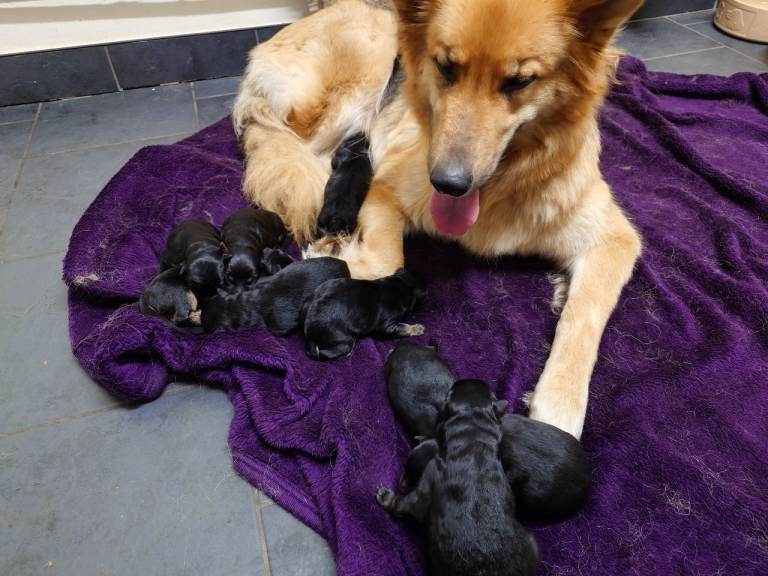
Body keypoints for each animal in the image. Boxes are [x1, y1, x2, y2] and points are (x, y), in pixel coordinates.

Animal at [234, 0, 644, 438]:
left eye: (519, 82)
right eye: (445, 69)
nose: (448, 184)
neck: (501, 186)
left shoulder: (615, 240)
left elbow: (582, 320)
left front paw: (558, 407)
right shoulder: (385, 192)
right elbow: (387, 259)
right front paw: (329, 261)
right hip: (348, 93)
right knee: (293, 148)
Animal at [377, 379, 539, 576]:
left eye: (450, 392)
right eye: (491, 393)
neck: (472, 442)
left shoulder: (426, 483)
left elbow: (404, 503)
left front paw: (386, 497)